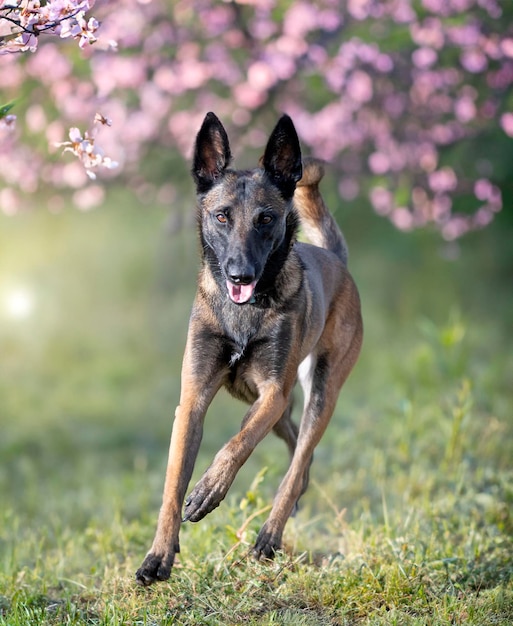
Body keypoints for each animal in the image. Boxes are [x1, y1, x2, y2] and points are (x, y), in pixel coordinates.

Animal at [134, 112, 362, 584]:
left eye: (266, 219)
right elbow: (172, 485)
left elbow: (237, 444)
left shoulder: (271, 393)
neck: (245, 313)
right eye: (221, 217)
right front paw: (159, 555)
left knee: (297, 459)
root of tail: (337, 260)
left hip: (320, 393)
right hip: (285, 406)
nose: (240, 275)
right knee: (295, 450)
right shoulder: (194, 400)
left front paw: (209, 489)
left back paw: (270, 536)